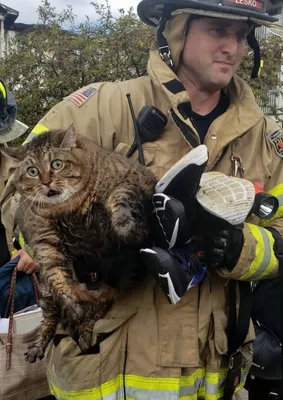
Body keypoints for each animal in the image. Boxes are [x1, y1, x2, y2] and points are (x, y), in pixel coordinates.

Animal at [0, 126, 156, 364]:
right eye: (32, 171)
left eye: (57, 164)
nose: (46, 182)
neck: (68, 206)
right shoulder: (42, 237)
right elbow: (57, 276)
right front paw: (70, 301)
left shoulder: (131, 179)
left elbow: (118, 199)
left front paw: (127, 227)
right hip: (46, 295)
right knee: (50, 321)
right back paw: (42, 343)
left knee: (95, 312)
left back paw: (84, 331)